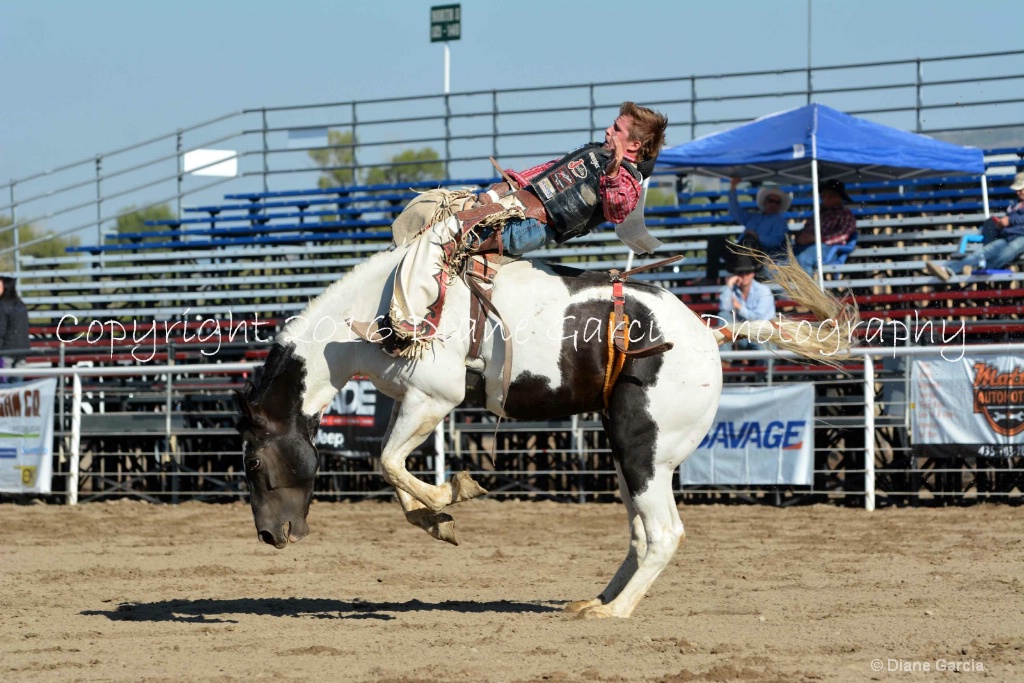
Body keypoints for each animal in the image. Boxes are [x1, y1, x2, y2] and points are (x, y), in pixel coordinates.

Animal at [235, 231, 851, 618]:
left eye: (253, 461)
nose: (268, 535)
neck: (383, 305)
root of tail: (710, 332)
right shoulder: (415, 403)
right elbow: (392, 466)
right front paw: (435, 518)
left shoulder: (434, 396)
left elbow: (387, 461)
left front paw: (451, 496)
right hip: (626, 452)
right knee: (639, 533)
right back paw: (595, 601)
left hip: (643, 447)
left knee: (664, 533)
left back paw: (615, 613)